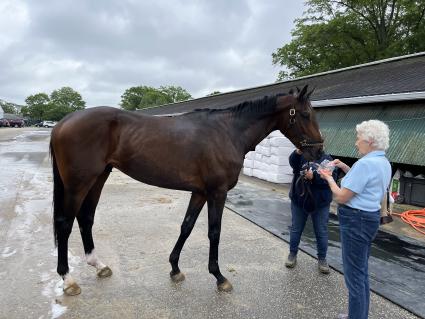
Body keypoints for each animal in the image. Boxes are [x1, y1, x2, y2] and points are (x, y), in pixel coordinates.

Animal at [49, 84, 322, 296]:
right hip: (78, 184)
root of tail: (62, 123)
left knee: (86, 218)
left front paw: (175, 269)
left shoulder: (200, 192)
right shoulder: (217, 192)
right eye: (305, 114)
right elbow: (214, 232)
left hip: (98, 178)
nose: (319, 151)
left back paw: (99, 265)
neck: (228, 132)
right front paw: (219, 277)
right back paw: (68, 279)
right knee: (65, 224)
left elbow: (186, 227)